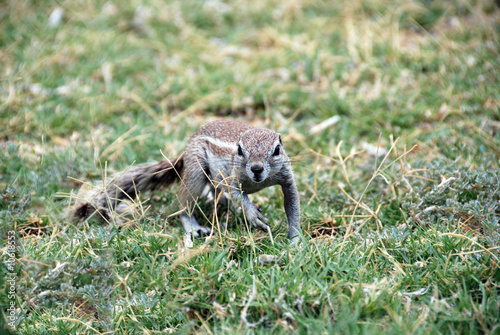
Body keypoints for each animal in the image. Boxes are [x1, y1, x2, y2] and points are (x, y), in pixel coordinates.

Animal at [74, 121, 300, 247]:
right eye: (240, 150)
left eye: (277, 149)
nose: (256, 168)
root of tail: (187, 147)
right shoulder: (232, 176)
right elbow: (239, 195)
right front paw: (253, 214)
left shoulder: (287, 179)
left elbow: (293, 205)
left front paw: (295, 240)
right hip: (195, 173)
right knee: (184, 205)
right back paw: (194, 227)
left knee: (214, 191)